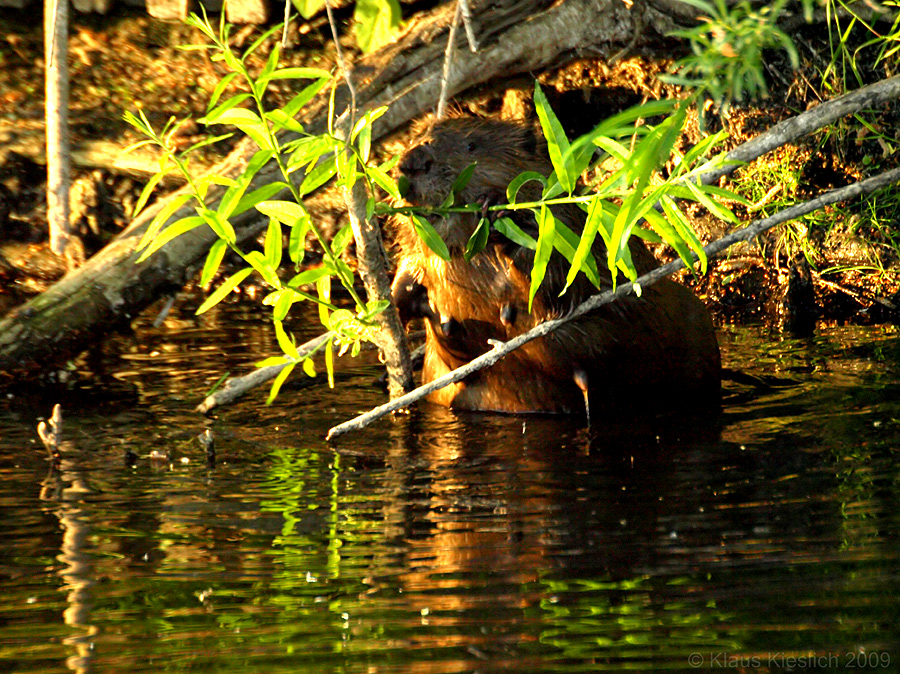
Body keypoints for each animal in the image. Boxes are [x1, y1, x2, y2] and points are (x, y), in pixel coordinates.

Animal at [390, 117, 720, 414]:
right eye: (418, 135)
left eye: (472, 145)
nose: (414, 161)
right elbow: (409, 268)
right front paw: (392, 310)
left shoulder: (576, 231)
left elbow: (562, 281)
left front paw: (497, 210)